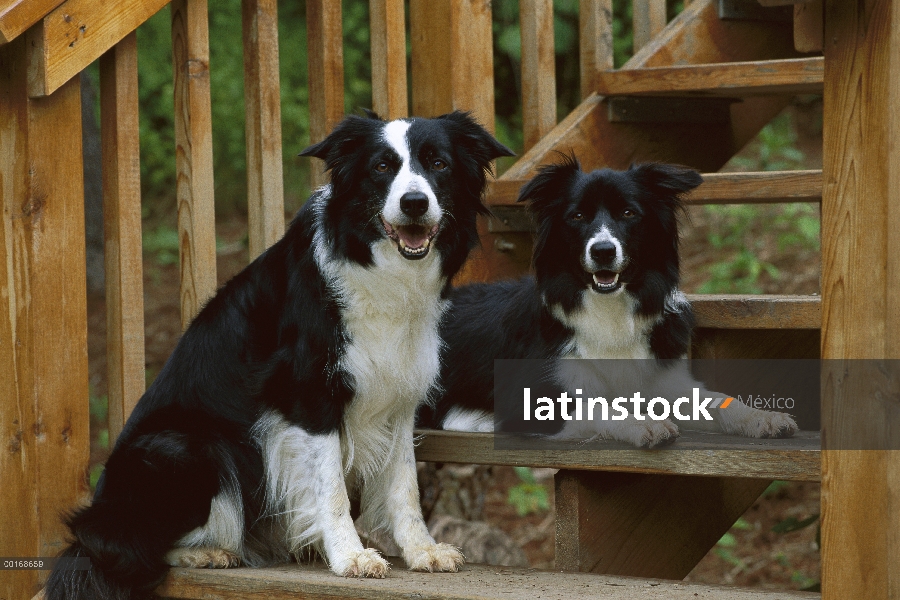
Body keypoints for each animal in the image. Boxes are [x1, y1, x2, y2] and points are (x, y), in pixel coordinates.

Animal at [47, 110, 512, 596]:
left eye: (438, 163)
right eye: (382, 167)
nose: (415, 203)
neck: (379, 269)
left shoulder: (399, 393)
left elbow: (404, 484)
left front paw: (422, 549)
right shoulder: (306, 394)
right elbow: (330, 486)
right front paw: (349, 556)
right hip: (183, 447)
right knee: (110, 545)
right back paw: (206, 552)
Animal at [418, 155, 800, 446]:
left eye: (629, 213)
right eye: (577, 216)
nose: (603, 251)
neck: (608, 308)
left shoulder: (664, 377)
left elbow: (717, 401)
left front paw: (760, 417)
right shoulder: (529, 400)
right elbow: (598, 407)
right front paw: (643, 422)